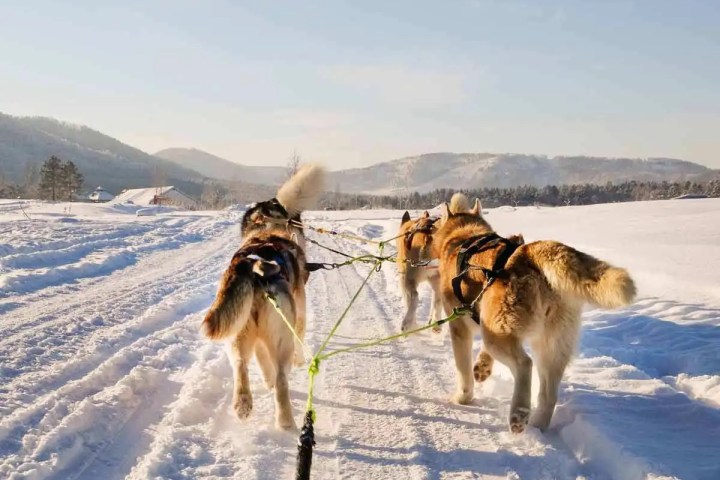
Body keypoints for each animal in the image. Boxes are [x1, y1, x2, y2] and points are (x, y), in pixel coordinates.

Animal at [200, 165, 324, 432]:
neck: (267, 228)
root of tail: (256, 265)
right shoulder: (299, 314)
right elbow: (299, 340)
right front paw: (300, 361)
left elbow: (260, 361)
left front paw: (264, 381)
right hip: (281, 338)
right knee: (282, 378)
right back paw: (285, 421)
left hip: (238, 332)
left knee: (241, 366)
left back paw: (243, 404)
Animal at [434, 193, 636, 434]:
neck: (464, 236)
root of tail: (529, 252)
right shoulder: (485, 321)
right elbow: (483, 356)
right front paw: (483, 367)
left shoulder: (460, 328)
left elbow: (463, 371)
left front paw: (462, 397)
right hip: (551, 346)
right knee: (548, 393)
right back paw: (538, 424)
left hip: (500, 337)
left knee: (524, 364)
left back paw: (519, 413)